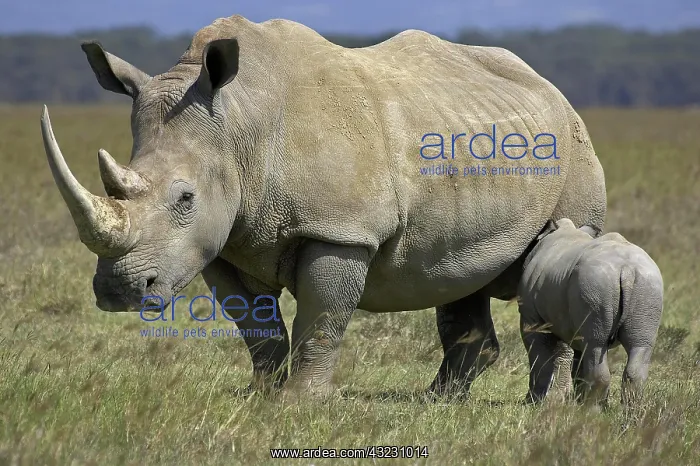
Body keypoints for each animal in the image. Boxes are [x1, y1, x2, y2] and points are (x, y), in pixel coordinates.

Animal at [39, 15, 606, 398]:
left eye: (184, 198)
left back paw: (549, 408)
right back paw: (438, 402)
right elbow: (256, 326)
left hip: (575, 153)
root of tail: (552, 89)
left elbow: (322, 318)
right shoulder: (222, 240)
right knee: (457, 273)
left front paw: (300, 402)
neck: (241, 125)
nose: (119, 291)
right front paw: (263, 396)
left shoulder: (340, 229)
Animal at [517, 219, 663, 407]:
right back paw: (628, 412)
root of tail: (627, 270)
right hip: (648, 286)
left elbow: (538, 357)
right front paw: (577, 399)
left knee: (595, 344)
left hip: (596, 284)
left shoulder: (532, 318)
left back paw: (591, 410)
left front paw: (533, 402)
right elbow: (579, 361)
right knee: (639, 346)